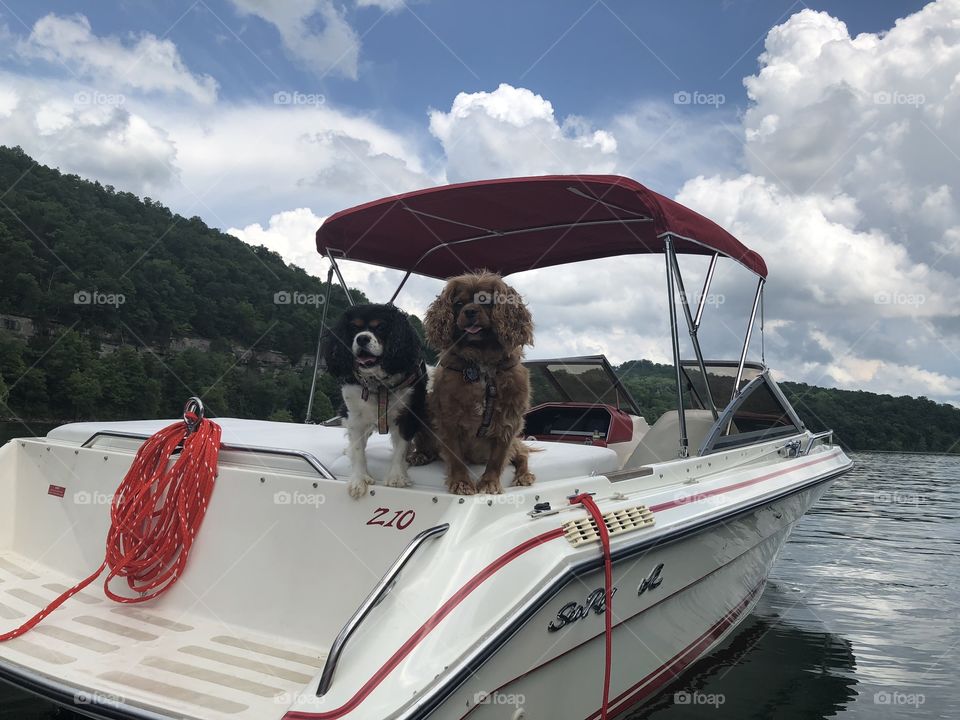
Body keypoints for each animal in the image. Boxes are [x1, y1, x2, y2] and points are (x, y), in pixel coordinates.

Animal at [424, 270, 536, 496]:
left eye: (486, 301)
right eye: (458, 303)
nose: (469, 311)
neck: (481, 361)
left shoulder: (510, 420)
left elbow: (497, 458)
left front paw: (489, 484)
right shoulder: (448, 418)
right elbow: (455, 456)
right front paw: (462, 483)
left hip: (517, 442)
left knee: (522, 455)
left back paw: (523, 476)